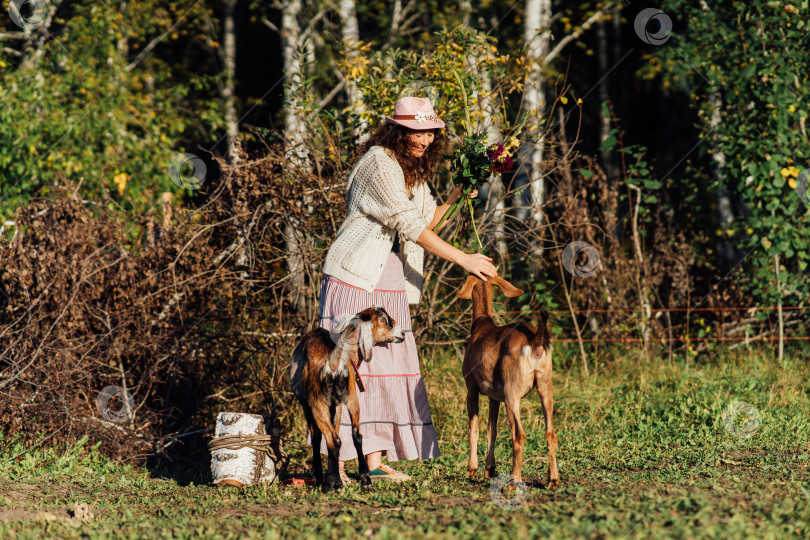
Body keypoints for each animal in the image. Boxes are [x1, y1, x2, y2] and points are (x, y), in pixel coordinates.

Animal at [290, 306, 404, 492]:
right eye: (384, 320)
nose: (402, 333)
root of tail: (333, 362)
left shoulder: (306, 404)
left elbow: (316, 437)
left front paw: (319, 476)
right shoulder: (337, 404)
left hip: (318, 403)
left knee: (333, 440)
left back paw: (330, 484)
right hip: (352, 398)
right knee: (356, 434)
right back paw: (364, 480)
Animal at [458, 276, 560, 488]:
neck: (481, 326)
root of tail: (535, 341)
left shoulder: (472, 388)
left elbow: (474, 429)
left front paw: (472, 468)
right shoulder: (494, 396)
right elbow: (492, 430)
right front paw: (490, 468)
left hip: (512, 395)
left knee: (519, 435)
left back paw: (514, 480)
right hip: (545, 389)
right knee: (551, 434)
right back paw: (553, 479)